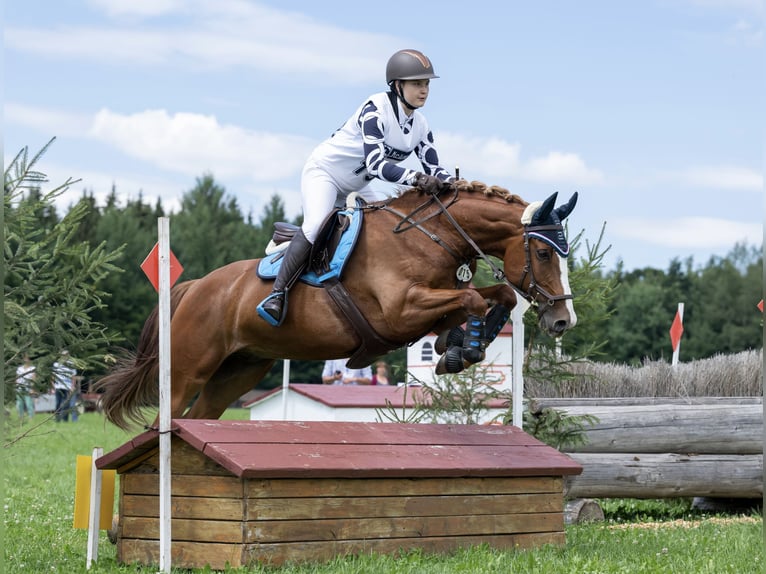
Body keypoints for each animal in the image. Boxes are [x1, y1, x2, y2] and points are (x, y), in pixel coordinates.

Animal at [96, 181, 576, 432]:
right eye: (545, 253)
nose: (563, 320)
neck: (430, 236)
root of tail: (196, 286)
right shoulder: (401, 312)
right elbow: (473, 297)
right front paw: (462, 347)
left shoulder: (431, 302)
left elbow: (496, 296)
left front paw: (459, 347)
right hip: (188, 370)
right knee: (166, 418)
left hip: (237, 373)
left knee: (200, 416)